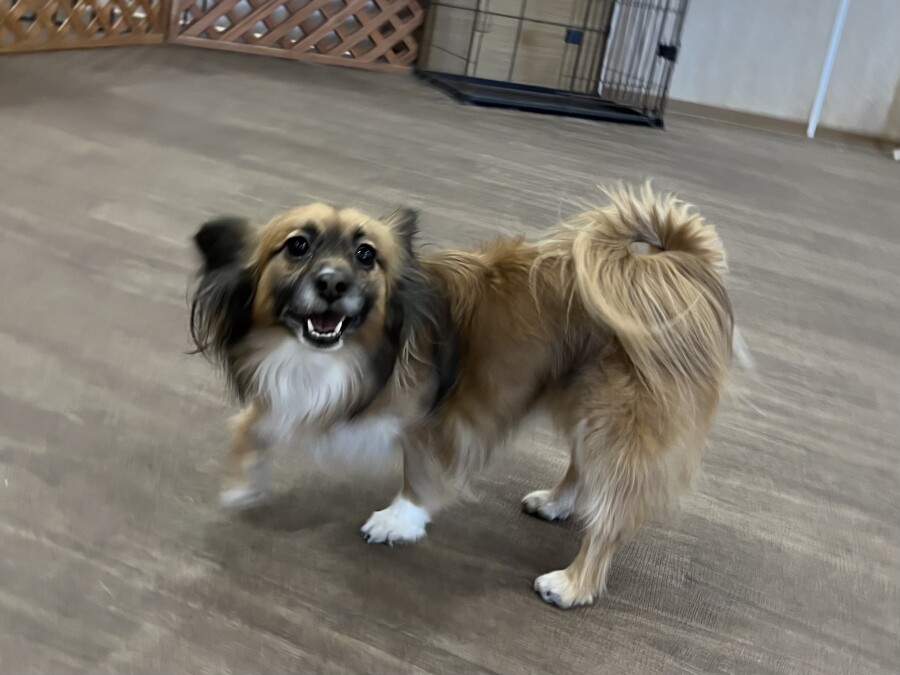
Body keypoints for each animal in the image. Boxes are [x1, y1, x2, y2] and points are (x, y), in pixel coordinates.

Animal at [189, 185, 733, 608]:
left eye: (366, 254)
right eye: (297, 246)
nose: (332, 283)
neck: (359, 349)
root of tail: (667, 267)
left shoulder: (437, 421)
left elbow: (420, 472)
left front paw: (398, 520)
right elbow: (251, 423)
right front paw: (242, 483)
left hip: (618, 422)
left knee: (610, 515)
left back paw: (573, 584)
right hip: (582, 402)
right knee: (583, 465)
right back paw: (556, 502)